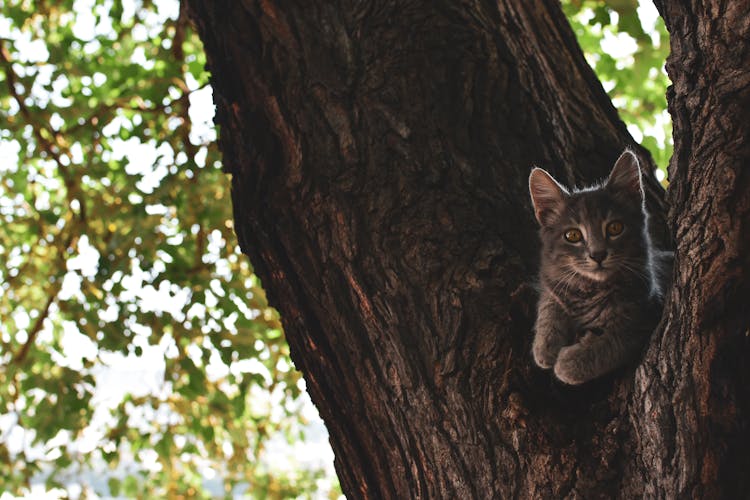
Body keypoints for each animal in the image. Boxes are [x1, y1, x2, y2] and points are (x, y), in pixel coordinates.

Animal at [524, 150, 672, 384]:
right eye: (573, 235)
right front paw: (544, 345)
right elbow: (549, 303)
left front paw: (569, 363)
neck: (590, 291)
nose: (598, 254)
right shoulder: (552, 281)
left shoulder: (646, 314)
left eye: (615, 228)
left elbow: (611, 343)